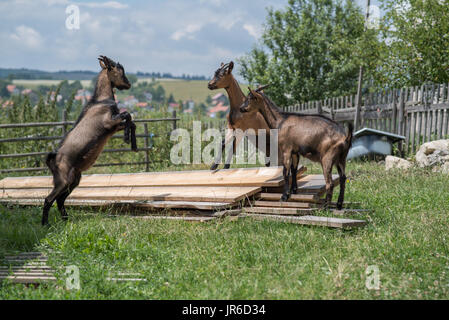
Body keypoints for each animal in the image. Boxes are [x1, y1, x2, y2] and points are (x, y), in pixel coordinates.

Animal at [42, 55, 136, 225]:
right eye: (118, 69)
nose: (128, 84)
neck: (101, 100)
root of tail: (53, 159)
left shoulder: (114, 127)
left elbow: (131, 121)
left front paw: (133, 145)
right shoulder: (108, 122)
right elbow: (127, 114)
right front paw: (127, 139)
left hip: (74, 179)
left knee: (60, 200)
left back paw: (66, 220)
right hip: (63, 180)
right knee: (49, 199)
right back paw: (45, 224)